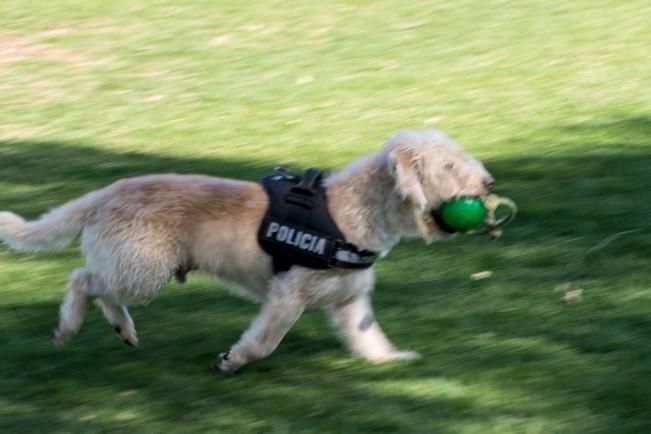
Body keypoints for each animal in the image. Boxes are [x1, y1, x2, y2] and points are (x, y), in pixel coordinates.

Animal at [0, 128, 492, 370]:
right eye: (449, 165)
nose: (488, 183)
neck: (350, 212)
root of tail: (104, 194)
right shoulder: (287, 296)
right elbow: (263, 343)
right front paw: (232, 360)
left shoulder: (349, 300)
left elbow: (368, 337)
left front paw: (391, 360)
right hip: (141, 270)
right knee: (83, 281)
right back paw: (71, 327)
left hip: (136, 269)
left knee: (97, 288)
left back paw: (121, 329)